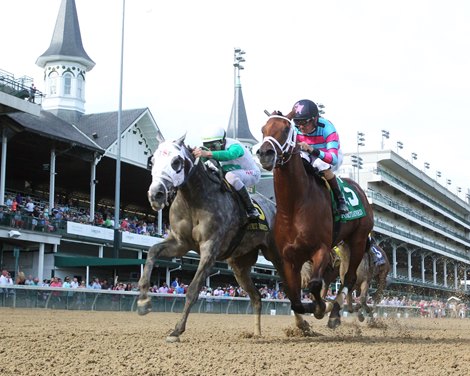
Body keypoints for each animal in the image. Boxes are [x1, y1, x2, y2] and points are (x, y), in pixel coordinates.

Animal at [137, 135, 312, 340]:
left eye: (176, 162)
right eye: (153, 161)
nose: (156, 194)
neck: (194, 200)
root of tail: (277, 209)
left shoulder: (210, 248)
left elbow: (193, 289)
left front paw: (176, 330)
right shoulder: (180, 243)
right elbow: (152, 252)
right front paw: (143, 302)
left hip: (275, 255)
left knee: (289, 287)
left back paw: (303, 326)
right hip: (239, 264)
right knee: (256, 297)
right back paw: (257, 333)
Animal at [258, 112, 374, 328]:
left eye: (286, 129)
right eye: (263, 129)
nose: (265, 154)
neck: (294, 207)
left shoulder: (321, 249)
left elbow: (314, 285)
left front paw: (323, 307)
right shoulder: (289, 258)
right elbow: (294, 297)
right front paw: (308, 313)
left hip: (359, 239)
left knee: (349, 278)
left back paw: (335, 313)